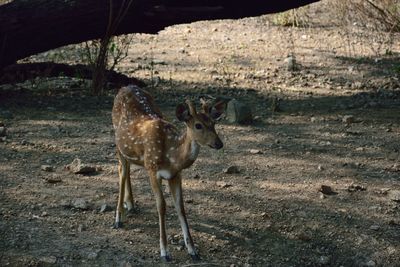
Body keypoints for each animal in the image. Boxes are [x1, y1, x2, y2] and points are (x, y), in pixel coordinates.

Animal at [111, 85, 225, 262]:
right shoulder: (152, 169)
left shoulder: (176, 174)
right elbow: (161, 206)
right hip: (118, 143)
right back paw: (118, 219)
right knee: (121, 171)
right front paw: (164, 252)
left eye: (213, 123)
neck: (172, 156)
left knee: (127, 169)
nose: (218, 143)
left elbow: (180, 207)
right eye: (198, 125)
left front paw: (193, 250)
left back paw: (130, 205)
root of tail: (125, 86)